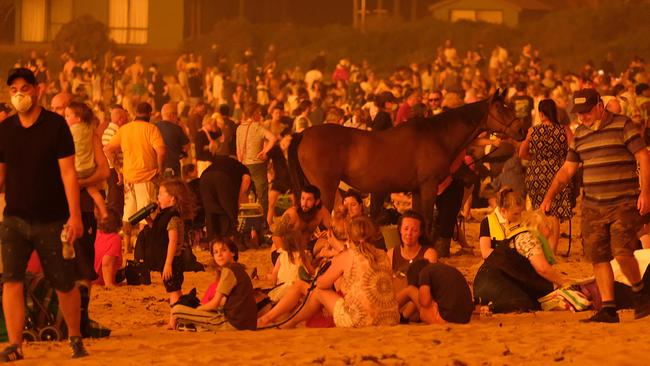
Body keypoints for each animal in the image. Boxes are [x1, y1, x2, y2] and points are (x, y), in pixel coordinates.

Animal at [286, 88, 524, 237]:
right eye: (501, 108)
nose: (521, 130)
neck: (437, 135)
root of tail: (303, 134)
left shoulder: (417, 190)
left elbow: (418, 219)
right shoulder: (428, 186)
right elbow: (426, 220)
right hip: (324, 189)